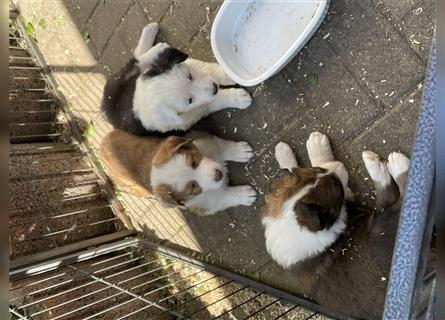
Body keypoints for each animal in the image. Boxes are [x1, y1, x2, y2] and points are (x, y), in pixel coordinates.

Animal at [99, 128, 255, 215]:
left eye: (193, 163)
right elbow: (225, 197)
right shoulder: (206, 203)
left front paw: (241, 151)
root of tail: (100, 148)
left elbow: (222, 146)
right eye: (193, 186)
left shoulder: (204, 141)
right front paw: (245, 195)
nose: (219, 174)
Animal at [102, 23, 251, 136]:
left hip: (134, 75)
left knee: (138, 60)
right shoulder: (186, 118)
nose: (215, 87)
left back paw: (155, 40)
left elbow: (203, 67)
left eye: (189, 76)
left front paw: (225, 73)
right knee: (137, 60)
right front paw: (238, 98)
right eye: (190, 100)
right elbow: (210, 102)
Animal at [262, 131, 414, 318]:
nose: (340, 165)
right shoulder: (347, 203)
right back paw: (395, 163)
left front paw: (296, 148)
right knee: (395, 197)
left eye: (318, 170)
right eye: (337, 187)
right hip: (380, 228)